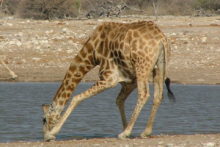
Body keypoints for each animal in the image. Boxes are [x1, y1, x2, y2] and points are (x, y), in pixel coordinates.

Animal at [41, 20, 175, 141]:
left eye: (44, 119)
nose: (44, 137)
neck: (92, 52)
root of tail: (161, 39)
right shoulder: (130, 81)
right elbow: (119, 100)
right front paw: (127, 129)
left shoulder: (109, 78)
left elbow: (76, 98)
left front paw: (52, 132)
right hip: (159, 67)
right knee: (158, 95)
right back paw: (145, 132)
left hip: (142, 66)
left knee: (144, 94)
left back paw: (125, 133)